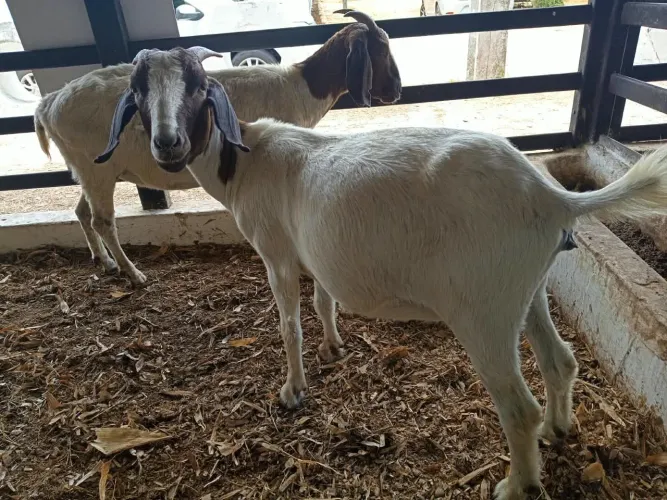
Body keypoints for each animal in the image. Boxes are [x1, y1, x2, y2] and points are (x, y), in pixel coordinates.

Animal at [34, 10, 401, 285]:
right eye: (381, 49)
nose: (396, 90)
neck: (299, 87)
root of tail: (49, 103)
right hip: (97, 170)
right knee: (103, 221)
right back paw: (133, 273)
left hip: (87, 169)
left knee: (82, 212)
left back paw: (105, 261)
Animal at [95, 47, 667, 500]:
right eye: (138, 93)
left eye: (196, 88)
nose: (168, 144)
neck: (243, 161)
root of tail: (552, 196)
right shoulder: (312, 254)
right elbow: (323, 300)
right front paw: (333, 348)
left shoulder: (276, 253)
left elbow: (289, 324)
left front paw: (292, 391)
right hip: (528, 288)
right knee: (560, 361)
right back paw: (558, 429)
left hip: (485, 307)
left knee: (516, 406)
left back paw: (517, 484)